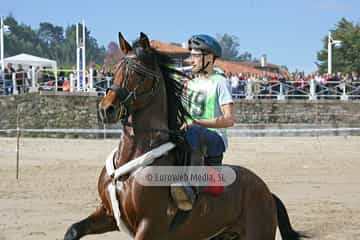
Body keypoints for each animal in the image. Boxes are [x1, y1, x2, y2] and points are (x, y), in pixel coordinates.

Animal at [64, 32, 306, 240]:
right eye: (116, 69)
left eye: (139, 74)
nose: (107, 109)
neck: (132, 159)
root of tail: (267, 192)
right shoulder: (107, 214)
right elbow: (73, 230)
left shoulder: (150, 225)